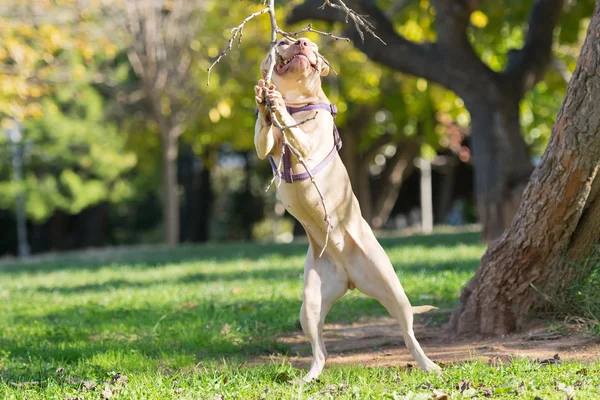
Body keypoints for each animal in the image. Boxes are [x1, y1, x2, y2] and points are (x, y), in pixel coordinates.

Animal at [253, 36, 440, 382]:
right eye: (284, 42)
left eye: (312, 46)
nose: (301, 41)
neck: (297, 99)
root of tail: (349, 279)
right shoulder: (265, 146)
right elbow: (264, 135)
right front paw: (263, 98)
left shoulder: (310, 143)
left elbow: (295, 131)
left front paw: (278, 106)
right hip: (310, 305)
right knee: (320, 351)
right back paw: (308, 377)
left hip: (392, 289)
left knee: (409, 333)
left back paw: (429, 365)